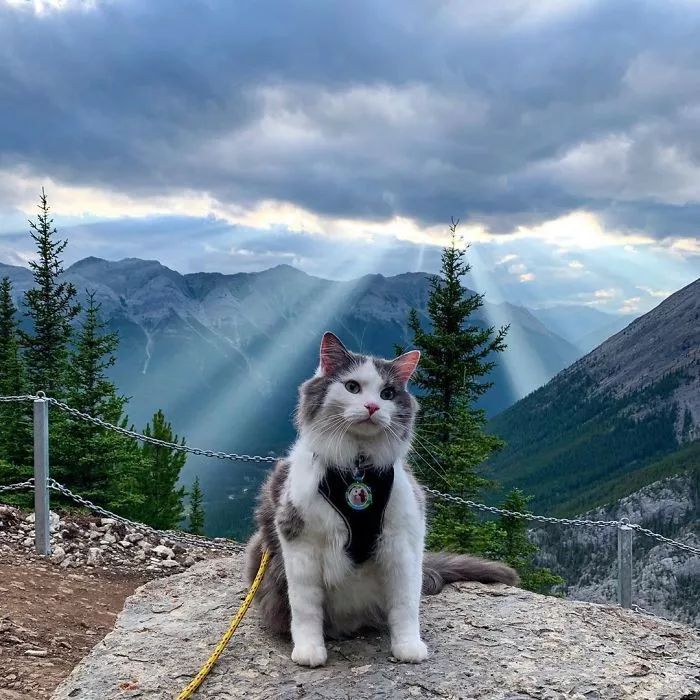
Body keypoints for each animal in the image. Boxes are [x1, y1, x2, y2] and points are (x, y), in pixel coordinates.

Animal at [243, 334, 516, 668]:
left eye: (387, 394)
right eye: (352, 387)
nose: (372, 406)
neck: (357, 468)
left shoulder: (403, 542)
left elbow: (405, 605)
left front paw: (408, 647)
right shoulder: (299, 541)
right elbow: (306, 608)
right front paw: (309, 650)